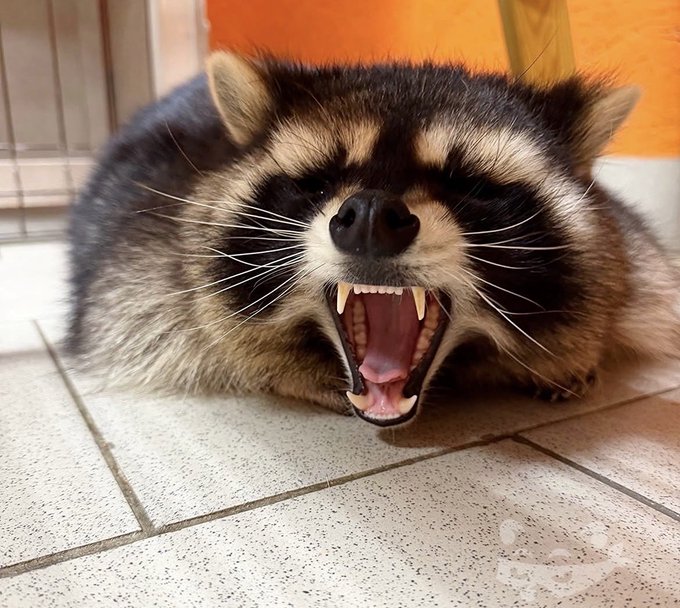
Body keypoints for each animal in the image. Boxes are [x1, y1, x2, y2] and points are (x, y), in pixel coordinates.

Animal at [67, 52, 680, 427]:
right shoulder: (138, 250)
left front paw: (569, 354)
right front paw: (287, 373)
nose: (369, 216)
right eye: (318, 181)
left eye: (470, 186)